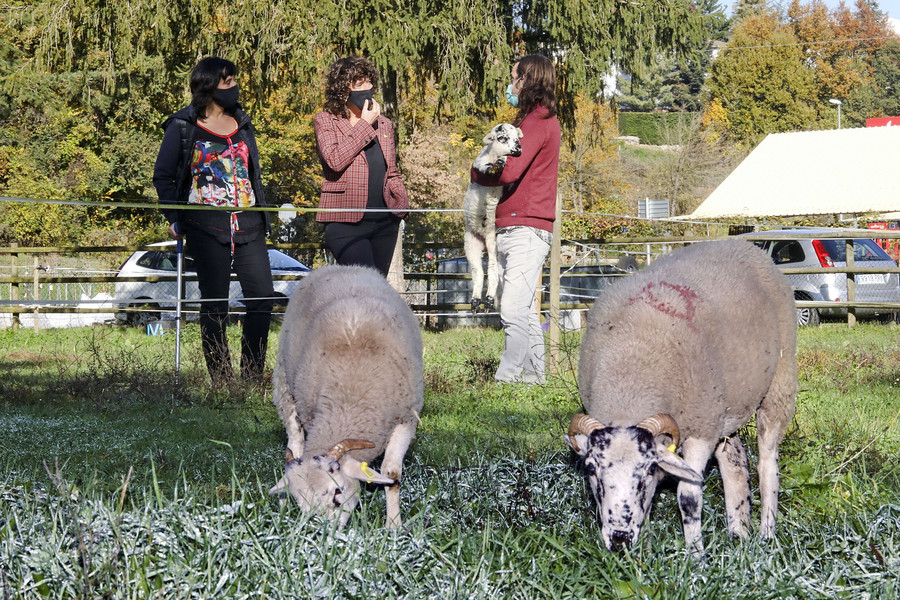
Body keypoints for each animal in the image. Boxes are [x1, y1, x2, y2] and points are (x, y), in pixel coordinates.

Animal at [268, 264, 424, 528]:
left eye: (337, 492)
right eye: (301, 504)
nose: (324, 534)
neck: (350, 398)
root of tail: (340, 267)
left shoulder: (406, 418)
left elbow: (391, 475)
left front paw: (393, 527)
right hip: (284, 387)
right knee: (295, 440)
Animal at [460, 120, 524, 312]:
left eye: (518, 137)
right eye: (502, 137)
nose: (518, 148)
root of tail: (481, 235)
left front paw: (501, 163)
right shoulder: (479, 161)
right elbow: (483, 166)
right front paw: (492, 169)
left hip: (492, 239)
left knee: (493, 270)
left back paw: (487, 300)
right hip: (470, 242)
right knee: (478, 272)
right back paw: (475, 301)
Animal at [568, 237, 800, 556]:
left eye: (652, 468)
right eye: (591, 468)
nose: (619, 539)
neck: (631, 375)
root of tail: (747, 245)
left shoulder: (701, 427)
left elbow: (689, 497)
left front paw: (696, 556)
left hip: (778, 382)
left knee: (767, 464)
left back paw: (766, 534)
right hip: (725, 407)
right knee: (735, 463)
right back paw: (739, 533)